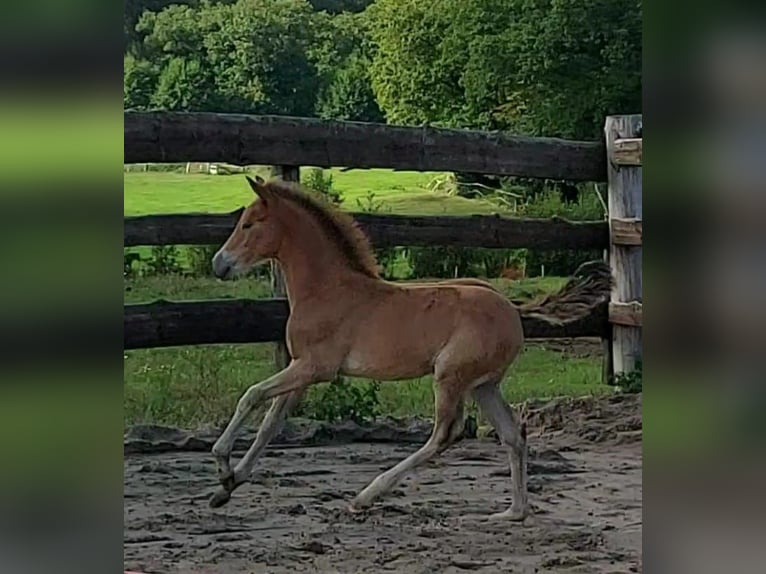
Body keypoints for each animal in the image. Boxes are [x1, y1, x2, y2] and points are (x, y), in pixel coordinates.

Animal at [210, 177, 536, 520]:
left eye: (248, 224)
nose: (219, 264)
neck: (326, 290)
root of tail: (513, 313)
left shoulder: (315, 367)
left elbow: (251, 396)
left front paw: (223, 467)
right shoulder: (301, 371)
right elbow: (270, 424)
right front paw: (227, 487)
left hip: (450, 376)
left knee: (447, 433)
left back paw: (365, 496)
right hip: (482, 385)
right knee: (513, 434)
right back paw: (513, 511)